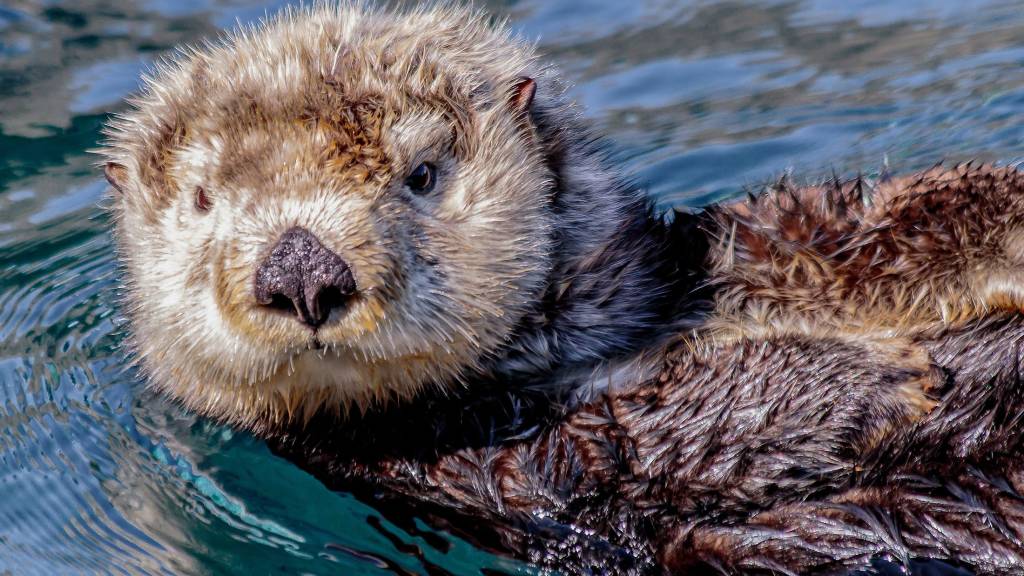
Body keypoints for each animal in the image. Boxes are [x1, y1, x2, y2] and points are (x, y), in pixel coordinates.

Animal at [98, 4, 1024, 575]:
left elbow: (833, 227)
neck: (581, 343)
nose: (302, 275)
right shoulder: (496, 470)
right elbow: (654, 435)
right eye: (204, 199)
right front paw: (890, 378)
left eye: (421, 174)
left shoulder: (728, 251)